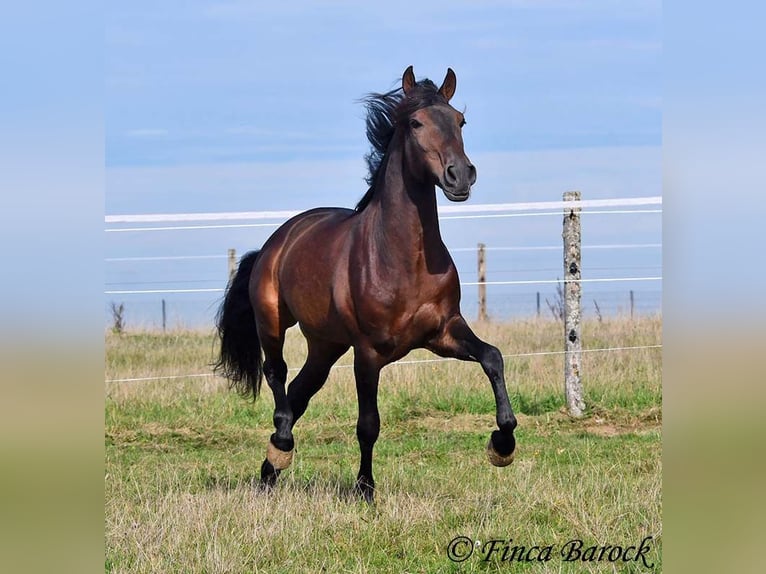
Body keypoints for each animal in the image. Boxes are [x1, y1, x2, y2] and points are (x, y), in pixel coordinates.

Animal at [214, 66, 517, 503]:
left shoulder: (444, 332)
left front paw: (502, 444)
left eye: (460, 121)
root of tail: (277, 241)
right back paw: (282, 449)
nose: (460, 175)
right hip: (272, 321)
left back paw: (270, 471)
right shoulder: (368, 352)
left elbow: (492, 357)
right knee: (277, 375)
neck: (403, 259)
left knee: (301, 390)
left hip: (326, 345)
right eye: (415, 123)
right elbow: (368, 424)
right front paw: (364, 489)